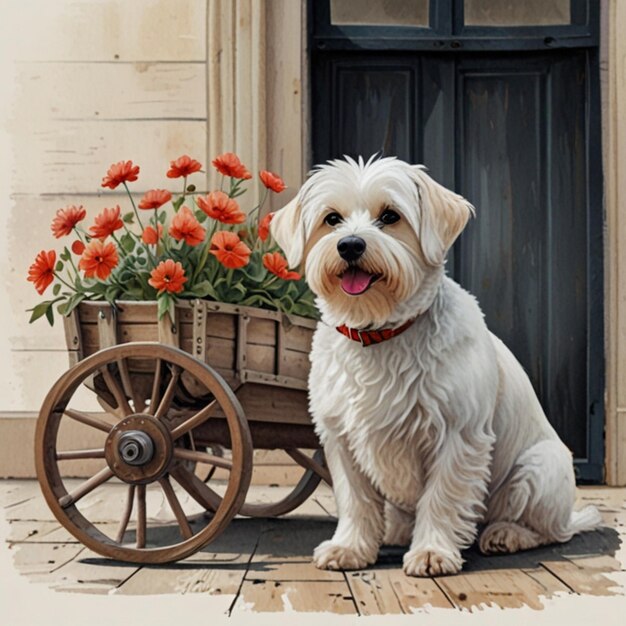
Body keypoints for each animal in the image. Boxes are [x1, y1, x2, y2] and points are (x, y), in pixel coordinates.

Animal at [268, 154, 600, 572]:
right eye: (332, 219)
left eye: (390, 216)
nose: (350, 245)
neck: (381, 333)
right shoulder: (340, 438)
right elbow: (355, 500)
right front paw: (350, 548)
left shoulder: (458, 436)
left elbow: (441, 499)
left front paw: (431, 552)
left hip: (541, 467)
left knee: (549, 530)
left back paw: (506, 535)